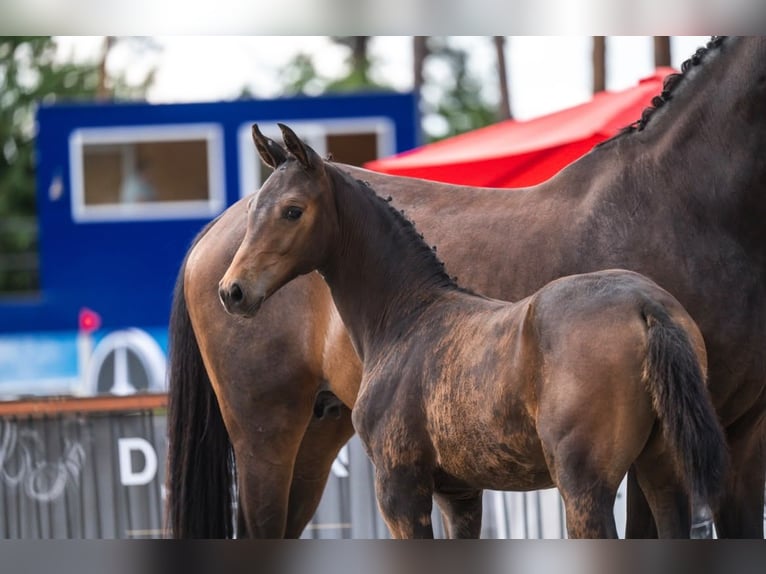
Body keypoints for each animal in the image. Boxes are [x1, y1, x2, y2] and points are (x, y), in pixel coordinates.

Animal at [166, 36, 766, 538]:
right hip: (265, 434)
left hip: (319, 434)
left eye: (291, 211)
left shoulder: (737, 436)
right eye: (261, 214)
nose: (234, 291)